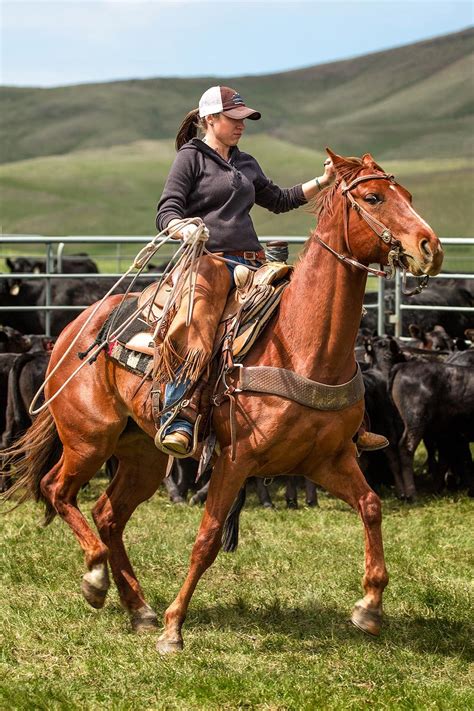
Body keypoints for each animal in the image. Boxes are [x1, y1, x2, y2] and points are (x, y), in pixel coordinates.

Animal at [1, 152, 442, 656]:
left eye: (406, 195)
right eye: (373, 197)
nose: (430, 246)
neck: (299, 344)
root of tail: (74, 329)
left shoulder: (328, 459)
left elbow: (370, 506)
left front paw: (369, 606)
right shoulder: (235, 460)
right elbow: (207, 539)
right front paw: (174, 628)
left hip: (143, 454)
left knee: (108, 514)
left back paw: (139, 608)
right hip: (88, 439)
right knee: (56, 489)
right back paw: (96, 579)